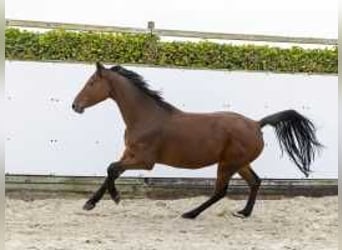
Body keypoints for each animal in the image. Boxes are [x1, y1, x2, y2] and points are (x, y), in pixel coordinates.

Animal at [71, 62, 320, 219]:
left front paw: (115, 198)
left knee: (221, 191)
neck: (147, 116)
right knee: (255, 182)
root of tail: (256, 124)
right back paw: (243, 213)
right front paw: (90, 203)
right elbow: (111, 171)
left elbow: (112, 169)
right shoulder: (130, 154)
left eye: (91, 82)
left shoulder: (145, 161)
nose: (75, 105)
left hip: (228, 164)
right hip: (240, 163)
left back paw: (190, 213)